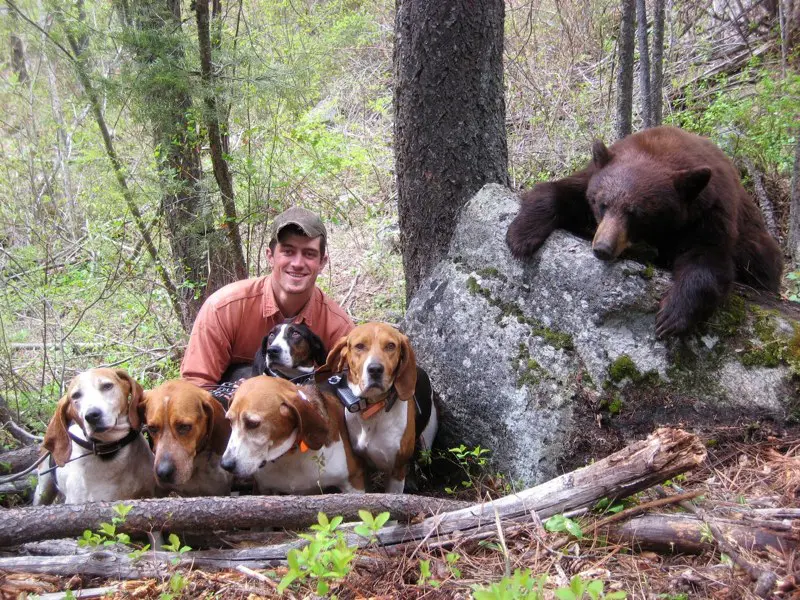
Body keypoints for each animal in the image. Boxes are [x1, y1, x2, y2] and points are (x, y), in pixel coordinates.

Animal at [506, 126, 783, 338]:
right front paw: (521, 235)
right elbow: (560, 190)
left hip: (759, 249)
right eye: (602, 204)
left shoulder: (709, 212)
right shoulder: (593, 175)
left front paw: (671, 316)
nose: (602, 248)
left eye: (637, 214)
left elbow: (709, 260)